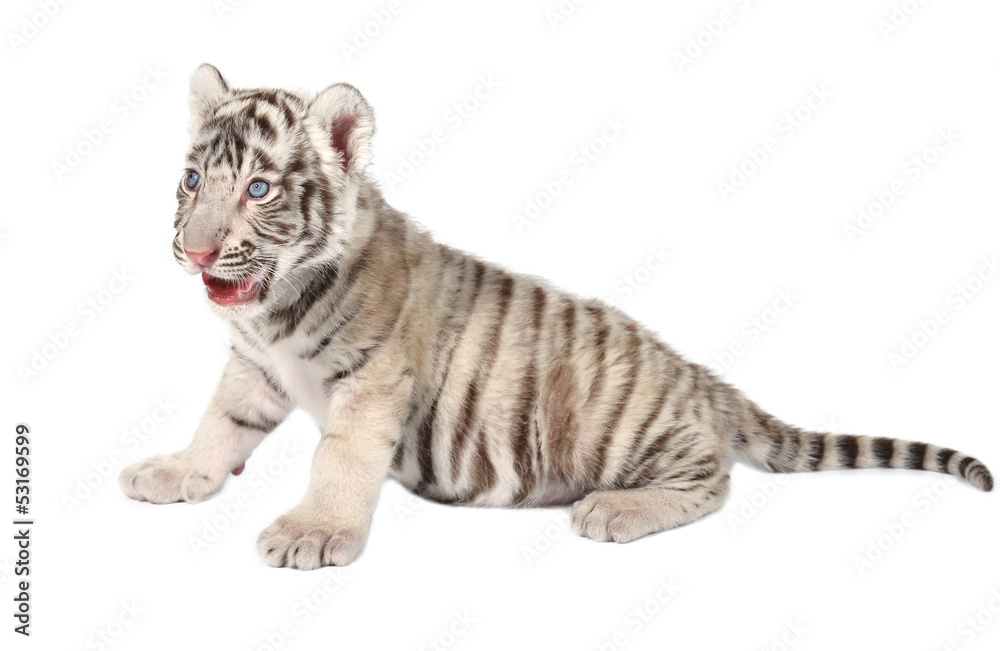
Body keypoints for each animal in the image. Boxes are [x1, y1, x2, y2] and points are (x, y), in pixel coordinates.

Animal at [118, 64, 994, 570]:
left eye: (259, 189)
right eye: (193, 180)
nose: (195, 252)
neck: (278, 305)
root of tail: (696, 373)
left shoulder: (370, 385)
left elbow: (338, 460)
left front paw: (313, 531)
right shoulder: (253, 369)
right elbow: (219, 425)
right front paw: (174, 471)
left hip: (622, 427)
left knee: (713, 477)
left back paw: (613, 509)